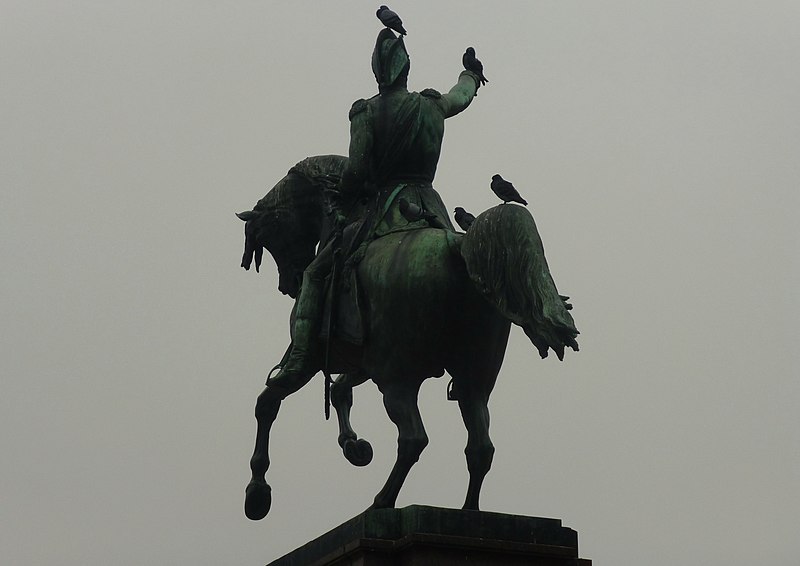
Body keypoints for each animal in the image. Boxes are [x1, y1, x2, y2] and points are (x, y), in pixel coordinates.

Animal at [234, 156, 580, 524]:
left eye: (267, 233)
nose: (290, 282)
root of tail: (457, 246)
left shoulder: (317, 358)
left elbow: (268, 402)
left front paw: (257, 491)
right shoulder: (364, 360)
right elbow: (340, 389)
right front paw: (353, 445)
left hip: (398, 378)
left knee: (413, 439)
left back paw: (382, 501)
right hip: (474, 375)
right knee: (480, 445)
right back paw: (469, 511)